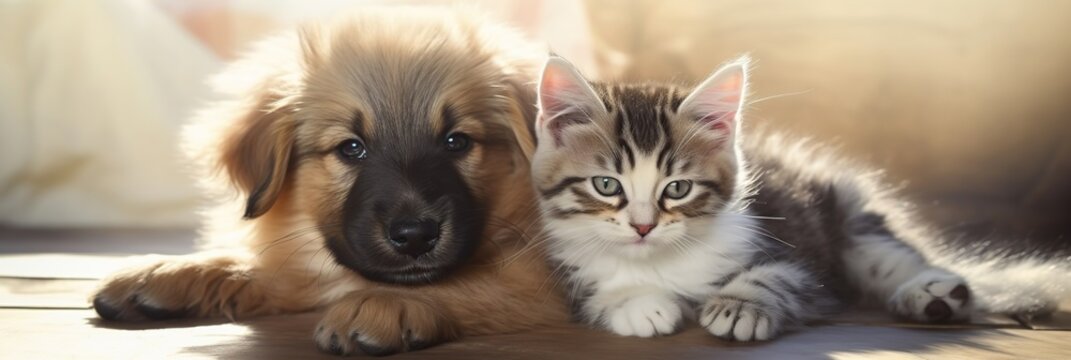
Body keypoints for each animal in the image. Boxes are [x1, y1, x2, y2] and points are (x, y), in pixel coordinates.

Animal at [92, 7, 569, 355]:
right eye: (350, 148)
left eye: (457, 142)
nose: (415, 235)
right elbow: (269, 265)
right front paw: (164, 273)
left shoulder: (544, 282)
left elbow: (470, 282)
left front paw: (386, 304)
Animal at [531, 56, 981, 340]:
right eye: (607, 185)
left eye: (677, 188)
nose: (643, 227)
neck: (660, 261)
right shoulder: (572, 278)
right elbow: (600, 296)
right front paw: (638, 304)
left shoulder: (801, 255)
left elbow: (778, 276)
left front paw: (739, 306)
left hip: (843, 207)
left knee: (889, 256)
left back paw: (935, 293)